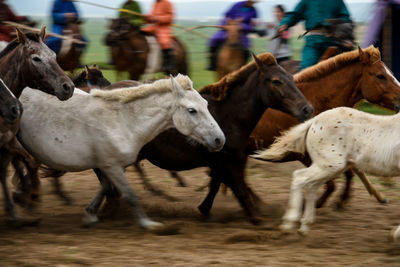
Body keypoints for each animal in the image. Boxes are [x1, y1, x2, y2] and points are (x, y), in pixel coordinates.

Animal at [18, 75, 225, 230]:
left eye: (206, 104)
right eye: (192, 110)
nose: (219, 139)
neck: (122, 120)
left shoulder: (111, 164)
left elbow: (106, 187)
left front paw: (90, 214)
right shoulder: (111, 165)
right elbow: (130, 195)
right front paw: (149, 224)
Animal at [253, 106, 400, 237]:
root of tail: (313, 121)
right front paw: (395, 235)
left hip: (330, 168)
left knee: (311, 185)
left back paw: (304, 225)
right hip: (329, 165)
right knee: (299, 177)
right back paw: (289, 225)